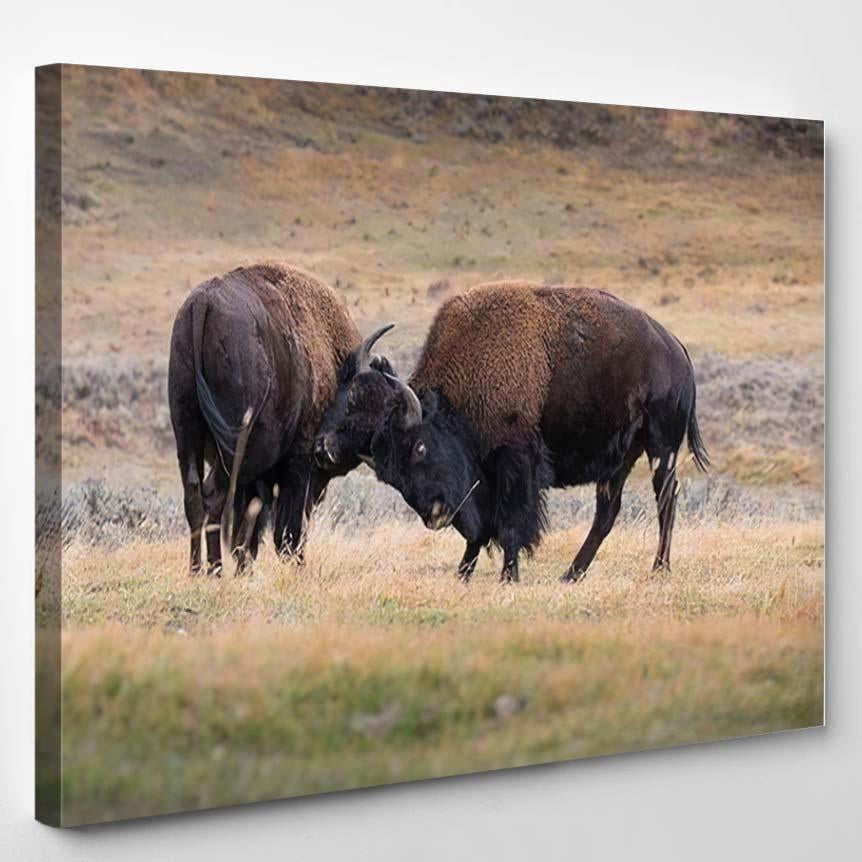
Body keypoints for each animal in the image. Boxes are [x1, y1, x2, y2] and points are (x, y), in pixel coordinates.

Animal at [168, 262, 393, 575]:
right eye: (359, 400)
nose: (326, 451)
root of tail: (203, 303)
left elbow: (250, 531)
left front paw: (246, 569)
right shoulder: (299, 464)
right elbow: (287, 529)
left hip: (186, 431)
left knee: (194, 496)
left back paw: (197, 570)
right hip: (235, 447)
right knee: (213, 496)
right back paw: (214, 570)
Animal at [315, 281, 708, 583]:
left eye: (419, 448)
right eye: (389, 476)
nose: (435, 515)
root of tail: (677, 350)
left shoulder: (515, 465)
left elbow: (509, 524)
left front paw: (508, 577)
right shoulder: (479, 484)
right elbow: (480, 531)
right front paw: (463, 575)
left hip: (661, 447)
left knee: (665, 498)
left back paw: (659, 569)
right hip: (619, 461)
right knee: (607, 512)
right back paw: (571, 575)